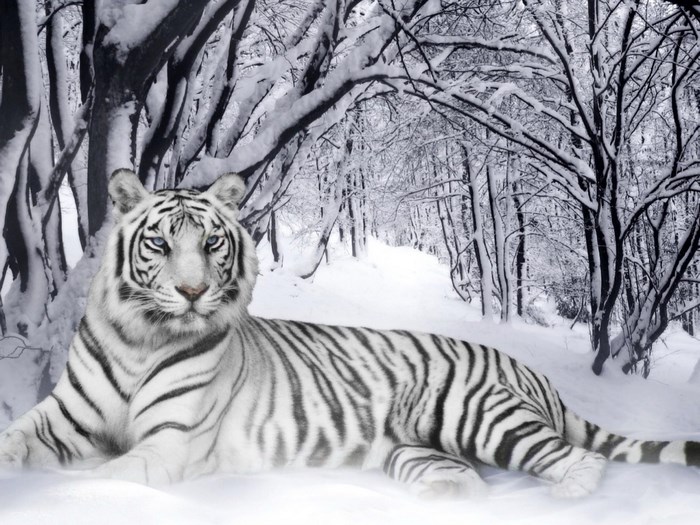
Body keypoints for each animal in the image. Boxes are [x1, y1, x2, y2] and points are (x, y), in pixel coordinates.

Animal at [0, 168, 698, 498]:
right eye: (160, 244)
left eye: (212, 243)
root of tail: (532, 372)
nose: (194, 292)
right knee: (467, 476)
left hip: (477, 414)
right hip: (413, 448)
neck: (141, 339)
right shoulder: (62, 417)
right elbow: (16, 441)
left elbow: (104, 478)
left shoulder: (169, 442)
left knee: (580, 460)